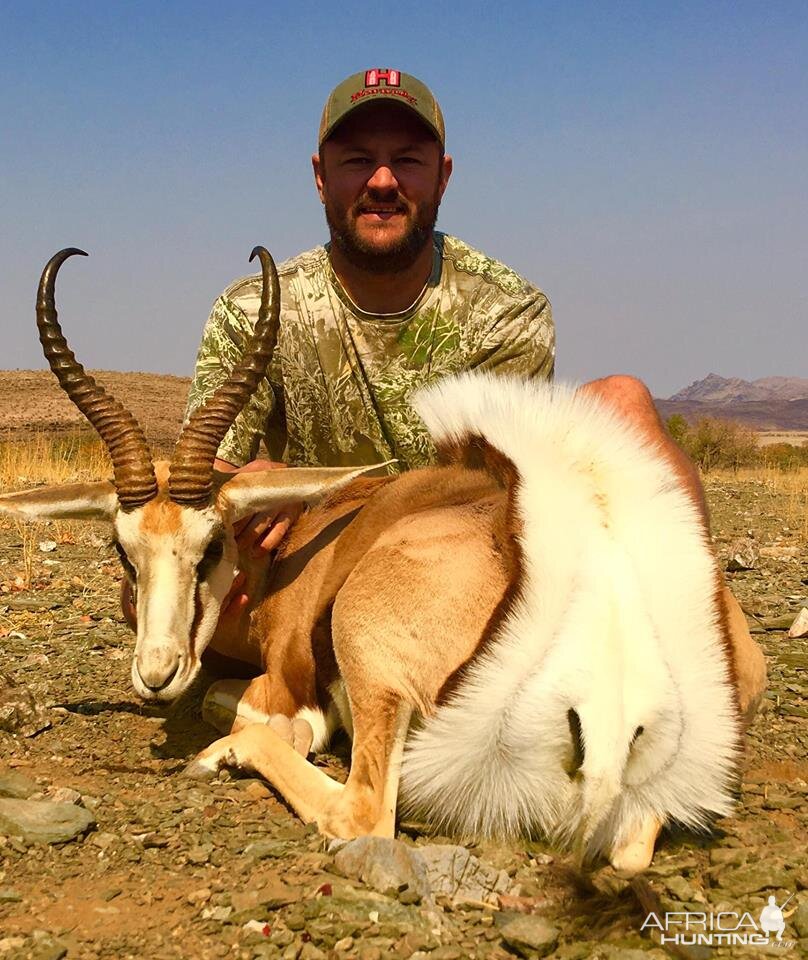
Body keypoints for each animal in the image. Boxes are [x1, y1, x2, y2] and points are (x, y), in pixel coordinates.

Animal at [0, 249, 768, 876]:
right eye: (122, 549)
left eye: (212, 543)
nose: (157, 675)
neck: (294, 548)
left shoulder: (289, 676)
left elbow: (256, 710)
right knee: (633, 844)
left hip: (369, 655)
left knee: (360, 811)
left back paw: (223, 756)